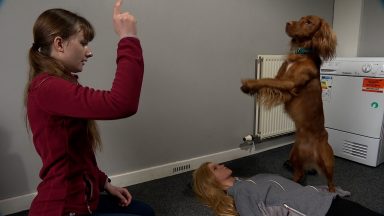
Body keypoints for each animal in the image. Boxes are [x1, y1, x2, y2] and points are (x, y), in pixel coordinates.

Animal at [243, 15, 336, 192]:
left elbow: (265, 80)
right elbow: (266, 80)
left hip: (327, 161)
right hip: (294, 155)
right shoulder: (280, 78)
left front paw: (249, 84)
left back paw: (332, 193)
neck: (300, 53)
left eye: (309, 22)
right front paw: (251, 87)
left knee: (331, 182)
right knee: (299, 173)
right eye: (300, 18)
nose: (288, 23)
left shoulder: (288, 83)